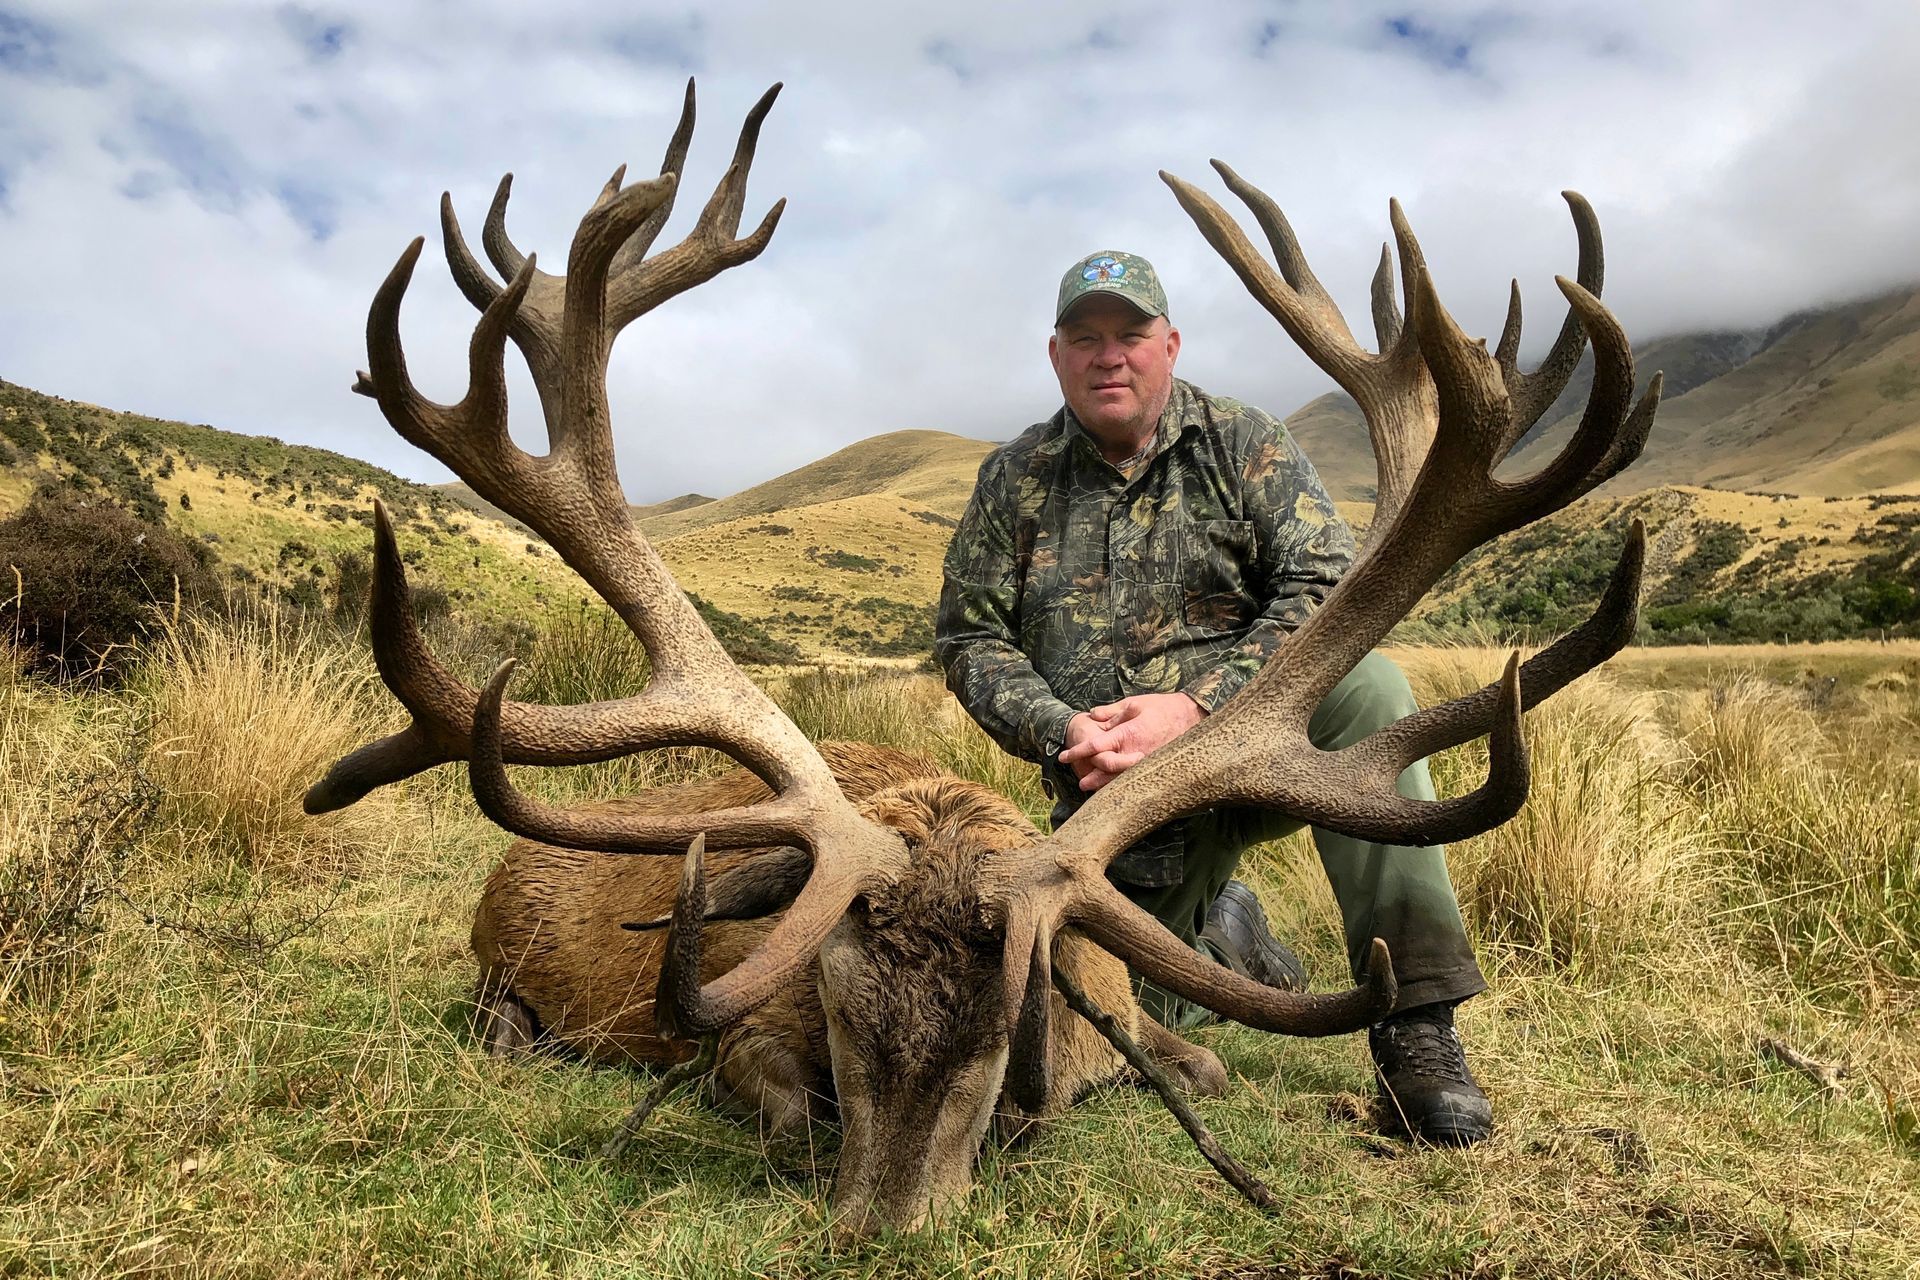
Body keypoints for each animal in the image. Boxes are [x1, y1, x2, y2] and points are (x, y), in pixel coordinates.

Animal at [303, 80, 1657, 1236]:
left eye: (1010, 1023)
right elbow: (777, 1102)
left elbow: (1201, 1066)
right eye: (840, 1005)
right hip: (499, 967)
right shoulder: (743, 1020)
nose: (885, 1223)